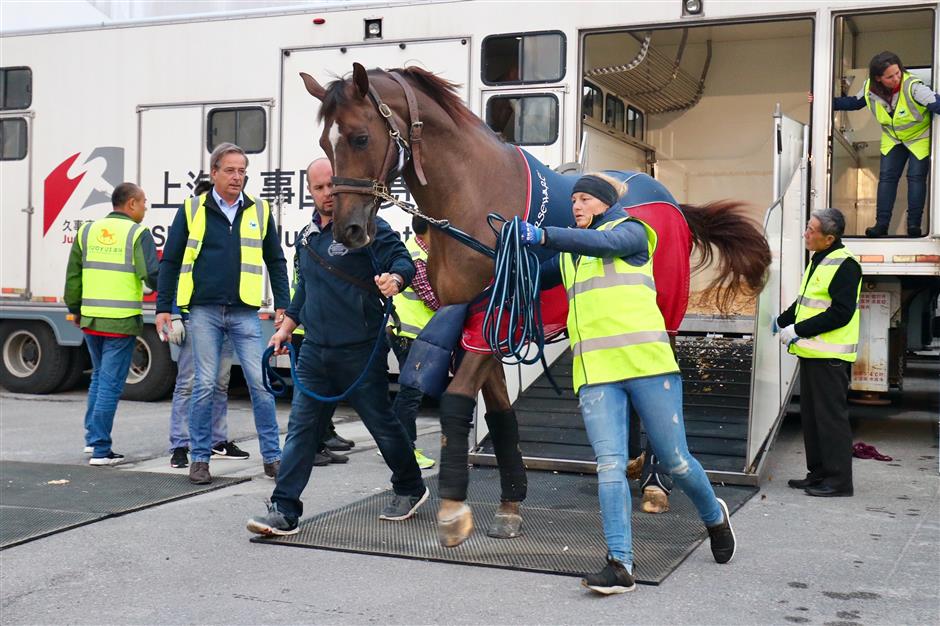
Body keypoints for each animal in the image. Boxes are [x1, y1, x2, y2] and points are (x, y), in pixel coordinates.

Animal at [298, 61, 768, 544]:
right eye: (325, 144)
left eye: (360, 137)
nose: (349, 230)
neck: (475, 198)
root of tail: (669, 200)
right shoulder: (481, 325)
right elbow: (501, 413)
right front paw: (510, 503)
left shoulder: (494, 316)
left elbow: (456, 400)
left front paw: (453, 509)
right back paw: (635, 464)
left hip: (665, 314)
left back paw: (657, 482)